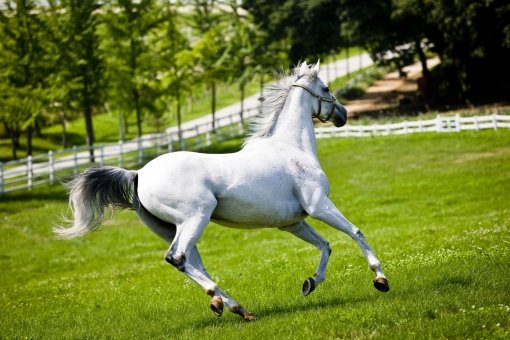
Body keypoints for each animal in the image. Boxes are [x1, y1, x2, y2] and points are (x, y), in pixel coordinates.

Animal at [55, 61, 388, 322]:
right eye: (327, 88)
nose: (343, 114)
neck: (292, 148)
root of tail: (138, 174)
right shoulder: (319, 206)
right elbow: (355, 232)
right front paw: (380, 279)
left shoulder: (292, 223)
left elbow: (325, 246)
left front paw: (310, 283)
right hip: (195, 217)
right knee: (177, 257)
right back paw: (222, 300)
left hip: (171, 227)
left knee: (192, 262)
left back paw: (235, 308)